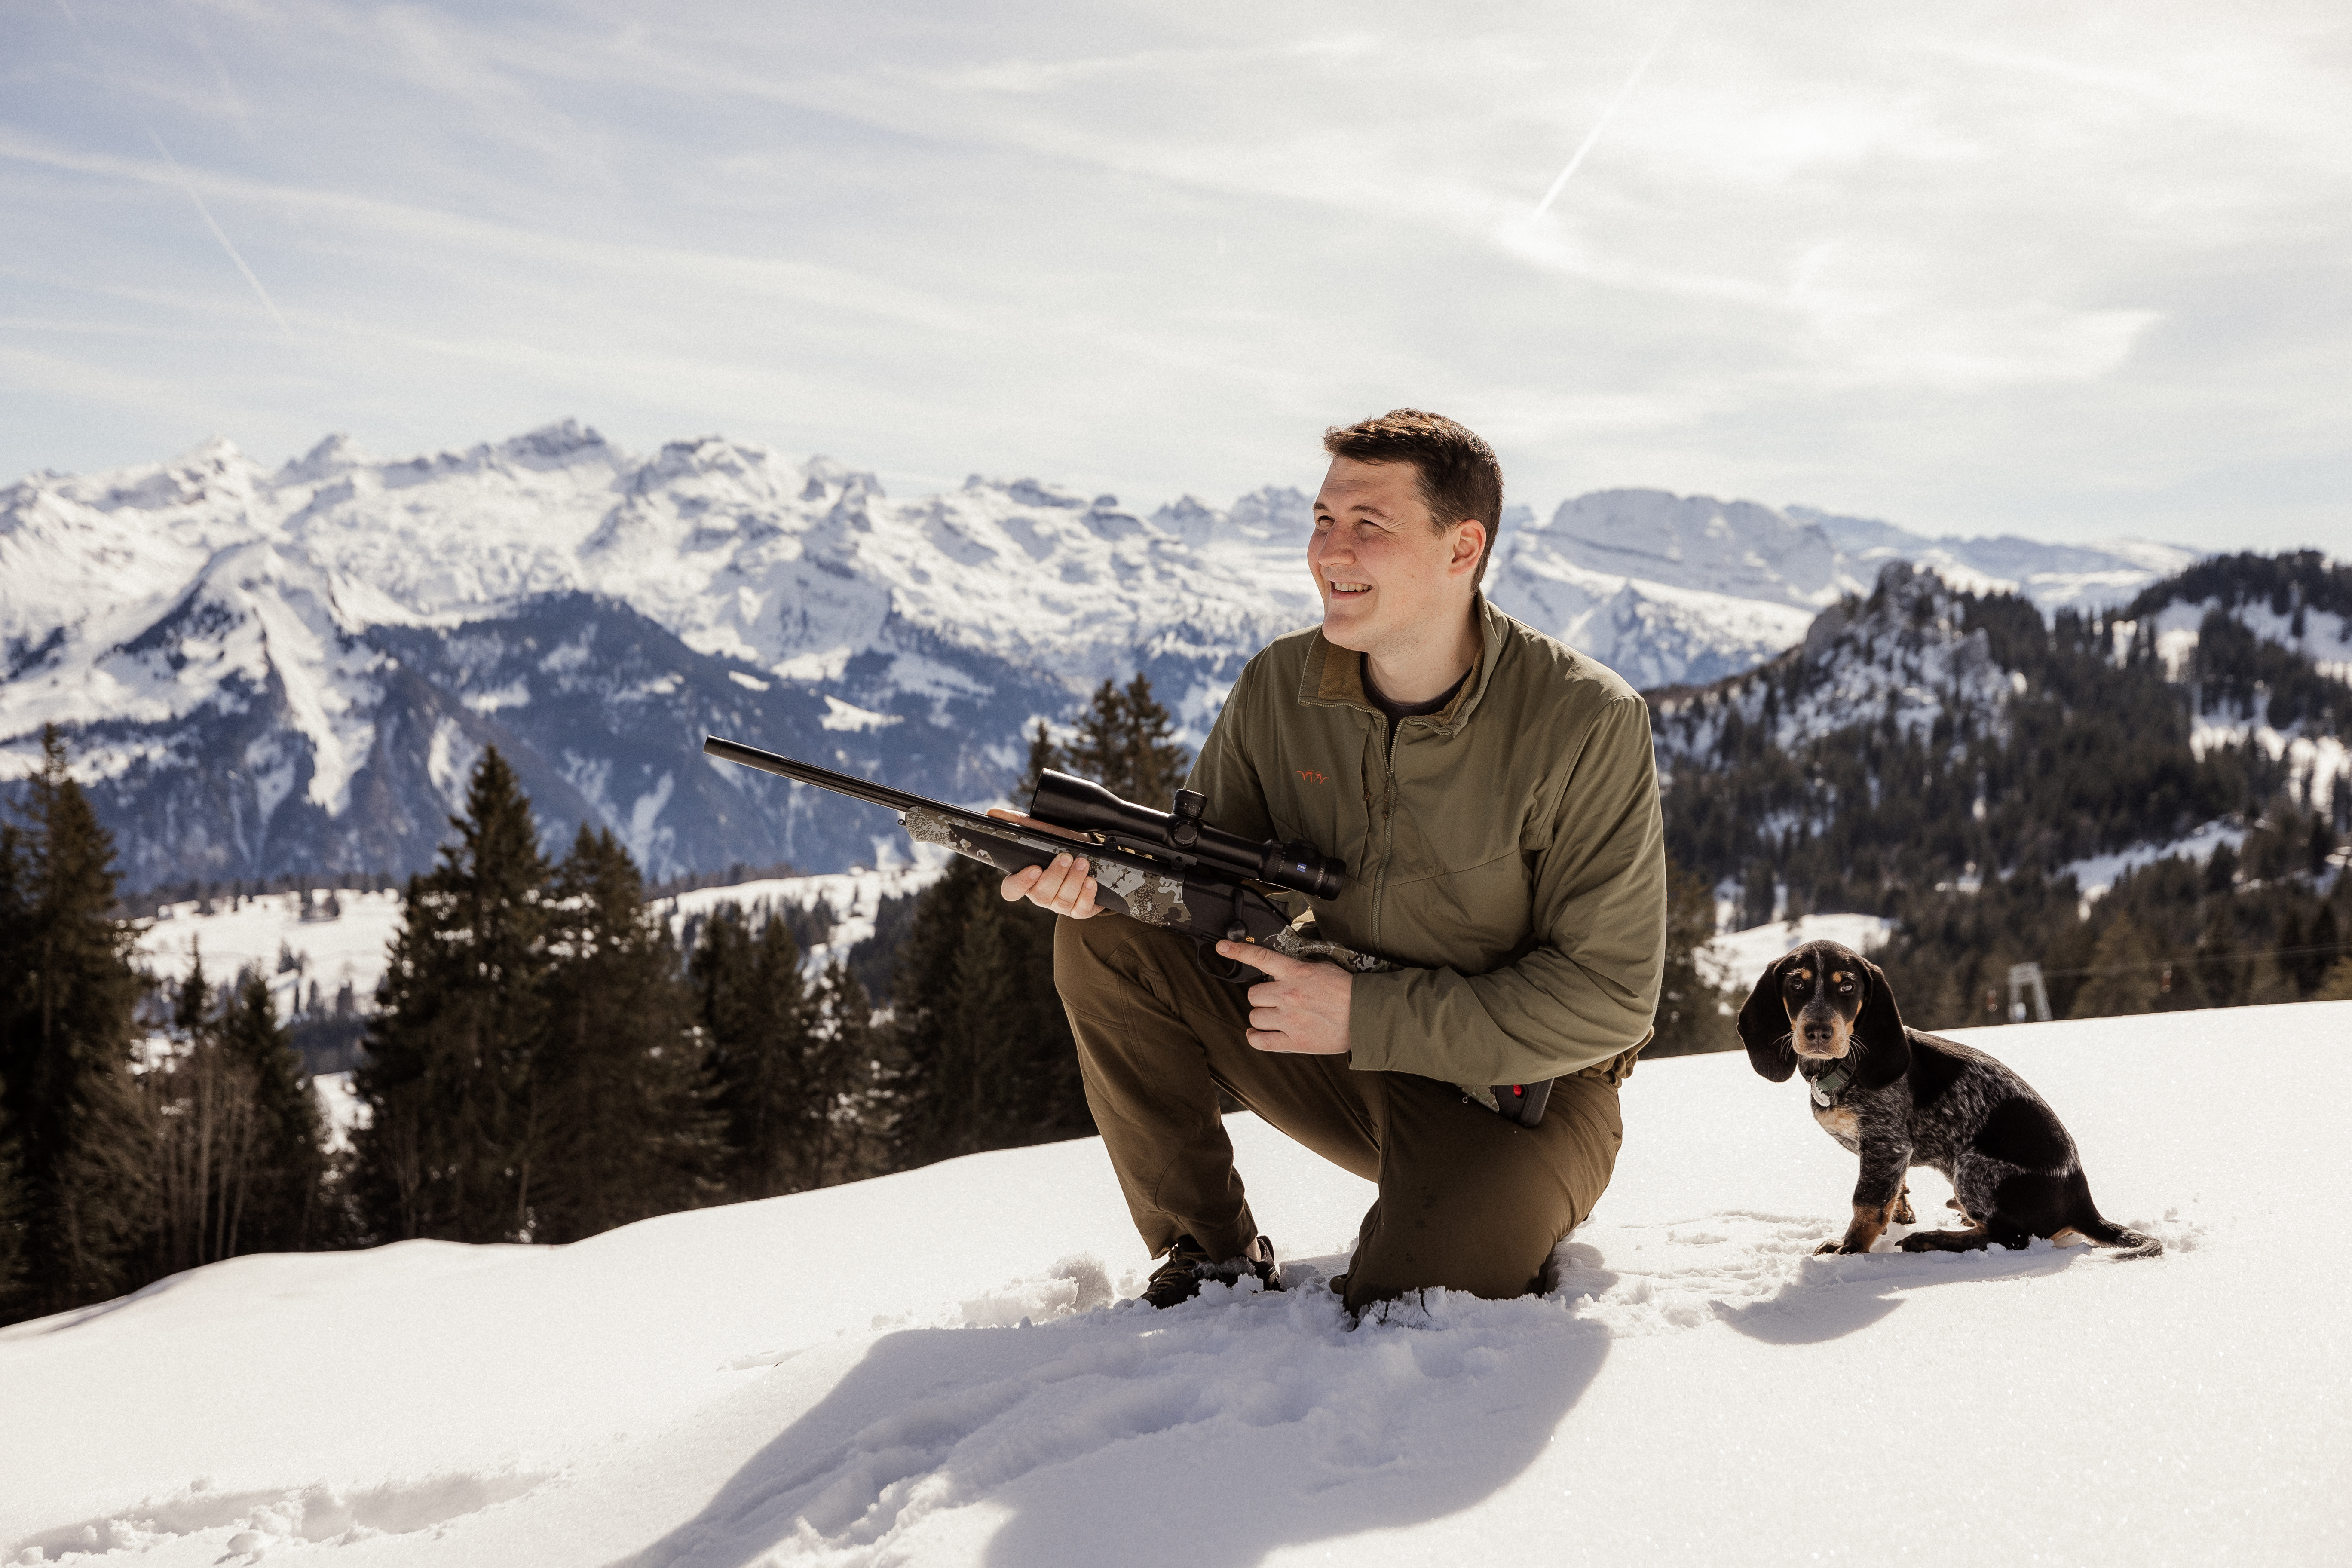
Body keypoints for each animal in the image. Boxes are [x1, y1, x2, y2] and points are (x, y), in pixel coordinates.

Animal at [1740, 945, 2154, 1260]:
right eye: (1796, 984)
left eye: (1848, 987)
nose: (1818, 1032)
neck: (1845, 1068)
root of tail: (2084, 1207)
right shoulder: (1889, 1152)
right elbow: (1894, 1190)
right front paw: (1900, 1214)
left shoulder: (1887, 1144)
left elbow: (1866, 1202)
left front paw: (1850, 1249)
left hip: (1972, 1166)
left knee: (2011, 1238)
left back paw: (1933, 1239)